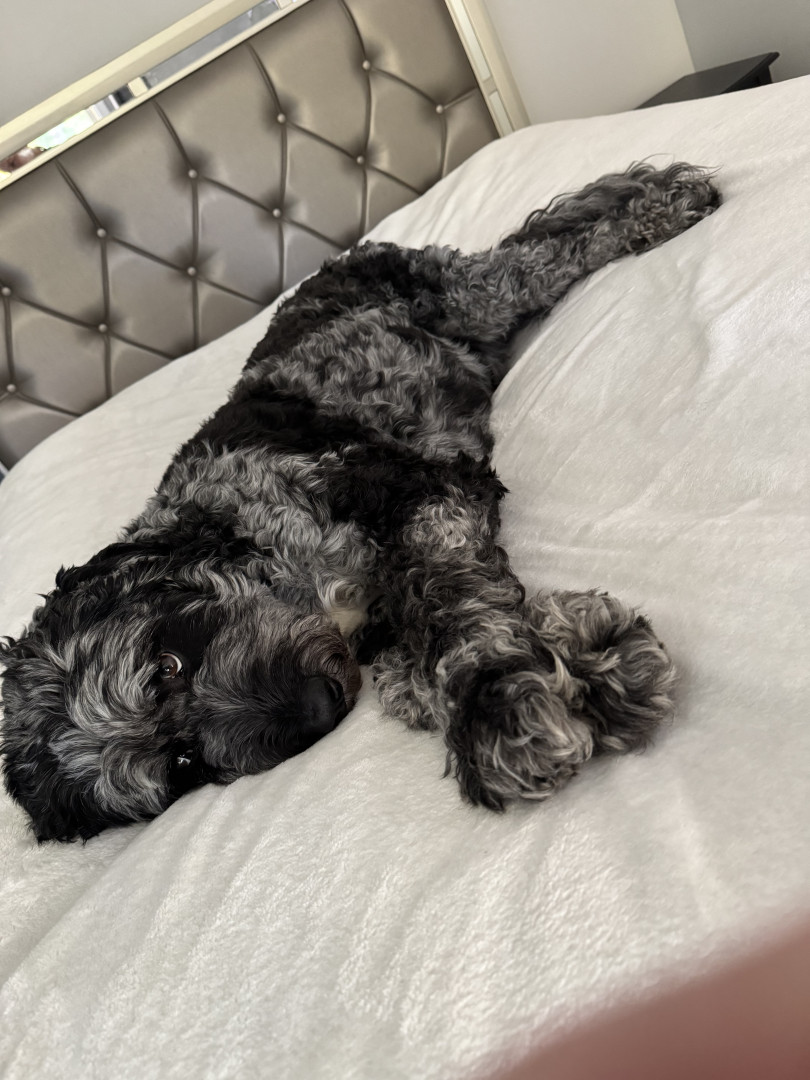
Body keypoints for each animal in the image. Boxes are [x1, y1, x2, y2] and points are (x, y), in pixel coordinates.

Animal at [0, 163, 720, 841]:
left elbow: (444, 597)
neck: (246, 537)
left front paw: (494, 702)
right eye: (183, 764)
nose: (317, 707)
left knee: (547, 251)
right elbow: (413, 656)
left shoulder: (413, 488)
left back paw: (661, 205)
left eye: (169, 663)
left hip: (473, 298)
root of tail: (336, 262)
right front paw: (580, 656)